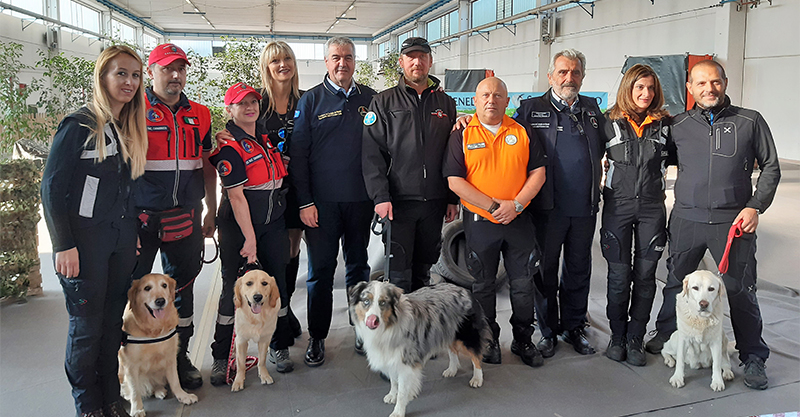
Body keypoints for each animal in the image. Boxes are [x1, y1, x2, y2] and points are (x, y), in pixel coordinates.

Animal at [352, 280, 494, 416]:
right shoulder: (390, 356)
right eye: (366, 301)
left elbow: (402, 392)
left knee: (476, 356)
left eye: (382, 303)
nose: (373, 319)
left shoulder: (406, 361)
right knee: (453, 351)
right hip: (448, 331)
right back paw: (452, 370)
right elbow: (393, 380)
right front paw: (392, 395)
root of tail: (466, 290)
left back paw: (477, 378)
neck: (389, 326)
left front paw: (398, 411)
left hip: (466, 337)